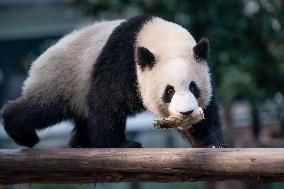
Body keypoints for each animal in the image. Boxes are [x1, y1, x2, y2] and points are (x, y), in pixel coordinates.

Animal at [1, 15, 224, 148]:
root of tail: (38, 60)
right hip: (62, 79)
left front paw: (211, 142)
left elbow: (208, 110)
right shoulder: (122, 61)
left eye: (193, 88)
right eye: (169, 91)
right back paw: (22, 132)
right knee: (42, 109)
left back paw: (81, 142)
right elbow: (107, 102)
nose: (186, 112)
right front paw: (119, 144)